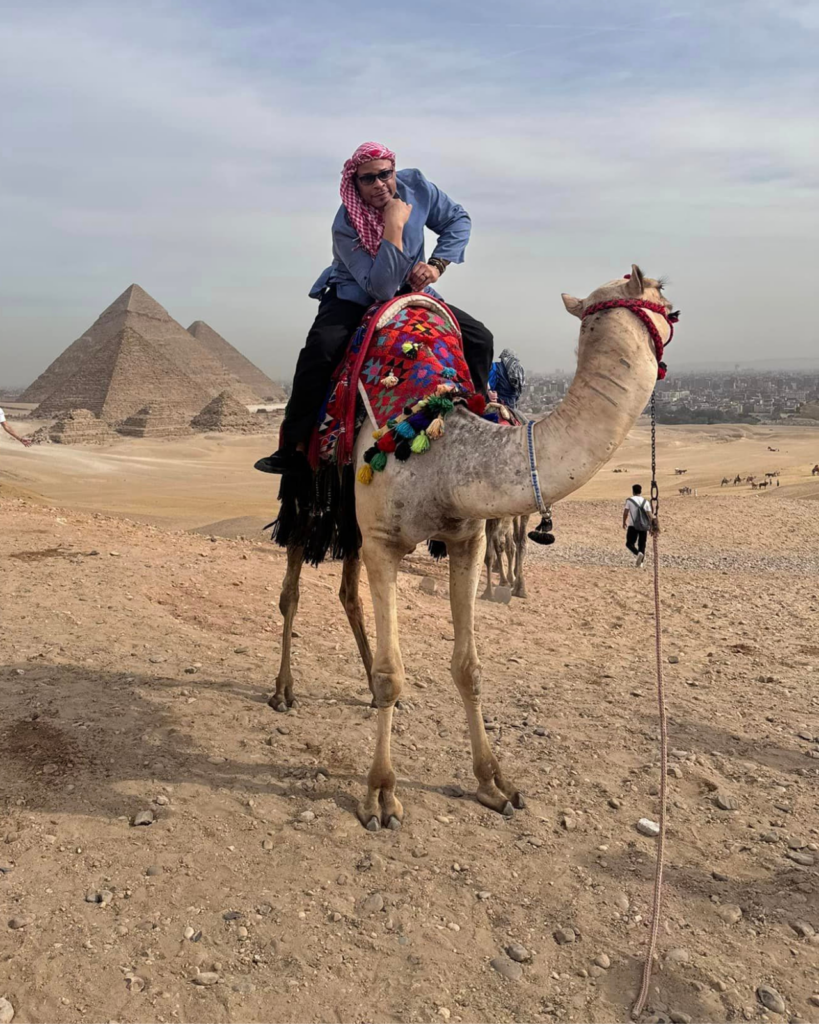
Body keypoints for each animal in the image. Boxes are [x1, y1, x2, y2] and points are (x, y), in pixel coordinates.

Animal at [268, 266, 671, 831]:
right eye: (665, 294)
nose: (675, 311)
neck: (438, 438)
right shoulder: (386, 541)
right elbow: (394, 673)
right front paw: (380, 796)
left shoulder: (466, 537)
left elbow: (469, 668)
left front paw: (494, 784)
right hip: (311, 489)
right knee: (292, 589)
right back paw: (284, 690)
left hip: (352, 515)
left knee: (348, 594)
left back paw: (362, 686)